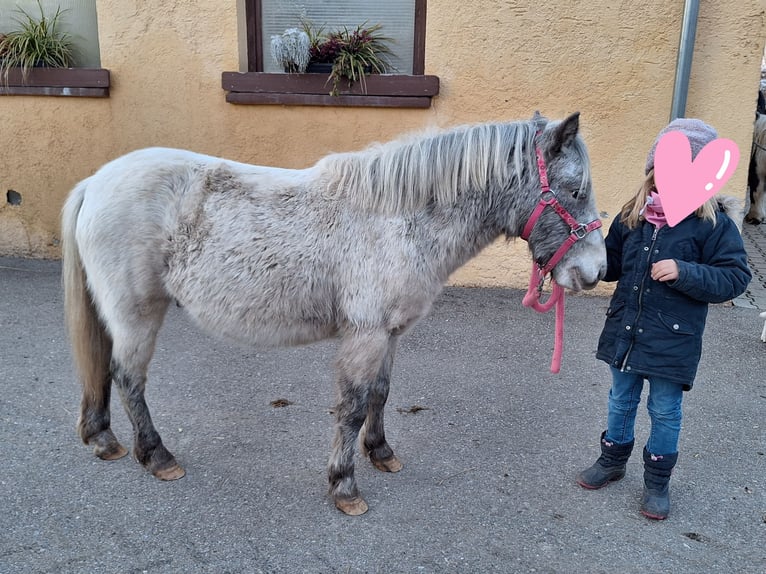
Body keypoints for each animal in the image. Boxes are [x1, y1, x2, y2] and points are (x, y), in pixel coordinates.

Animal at [63, 112, 608, 516]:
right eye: (576, 190)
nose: (596, 271)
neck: (397, 219)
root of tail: (95, 182)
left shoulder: (389, 333)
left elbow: (380, 395)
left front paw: (381, 454)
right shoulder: (365, 336)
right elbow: (351, 407)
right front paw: (345, 486)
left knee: (106, 373)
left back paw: (103, 438)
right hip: (137, 313)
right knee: (128, 377)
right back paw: (156, 456)